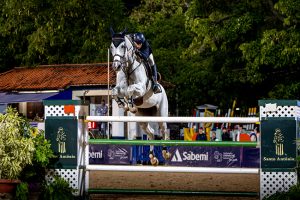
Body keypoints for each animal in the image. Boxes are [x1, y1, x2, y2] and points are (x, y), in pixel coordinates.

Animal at [109, 28, 171, 166]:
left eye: (123, 46)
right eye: (111, 47)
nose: (116, 66)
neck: (128, 68)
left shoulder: (141, 88)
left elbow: (130, 89)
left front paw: (130, 104)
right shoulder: (120, 88)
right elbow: (115, 91)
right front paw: (123, 104)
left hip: (161, 113)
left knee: (164, 130)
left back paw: (165, 152)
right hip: (143, 118)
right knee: (151, 133)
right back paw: (152, 157)